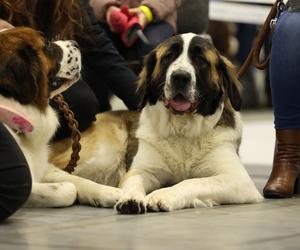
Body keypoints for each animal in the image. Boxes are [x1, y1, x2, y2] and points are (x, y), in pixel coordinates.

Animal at [0, 26, 122, 207]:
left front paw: (107, 191)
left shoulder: (44, 166)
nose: (75, 42)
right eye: (46, 45)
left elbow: (75, 179)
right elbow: (68, 189)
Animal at [49, 32, 262, 214]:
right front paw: (130, 198)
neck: (182, 129)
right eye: (168, 57)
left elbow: (193, 182)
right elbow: (134, 180)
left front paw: (163, 195)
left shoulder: (237, 180)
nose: (180, 77)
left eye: (201, 60)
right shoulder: (142, 170)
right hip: (103, 154)